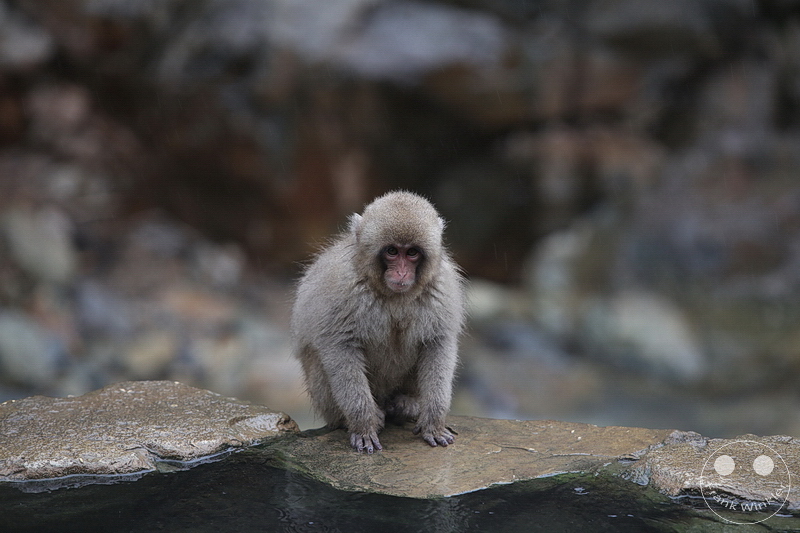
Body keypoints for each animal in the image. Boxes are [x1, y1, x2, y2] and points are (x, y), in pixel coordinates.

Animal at [291, 191, 466, 453]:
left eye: (412, 253)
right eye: (392, 251)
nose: (402, 273)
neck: (393, 296)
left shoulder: (440, 288)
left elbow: (438, 344)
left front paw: (433, 422)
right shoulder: (344, 287)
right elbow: (339, 347)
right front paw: (364, 424)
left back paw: (407, 403)